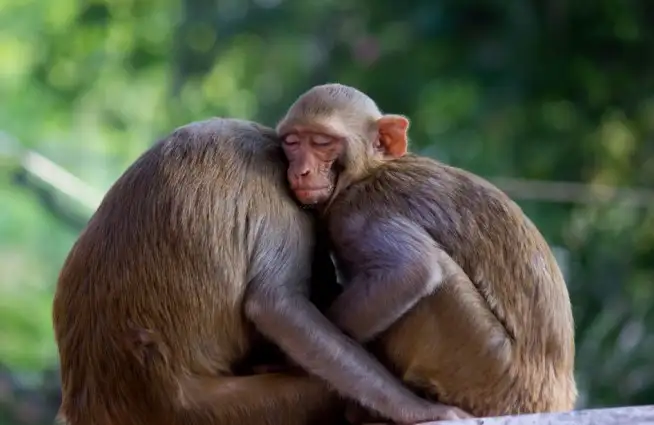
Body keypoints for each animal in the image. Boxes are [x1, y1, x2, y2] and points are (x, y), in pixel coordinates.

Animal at [276, 84, 580, 420]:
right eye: (292, 142)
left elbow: (412, 270)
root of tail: (555, 399)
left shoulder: (356, 216)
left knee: (438, 274)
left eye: (322, 142)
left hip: (487, 367)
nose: (301, 171)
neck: (367, 173)